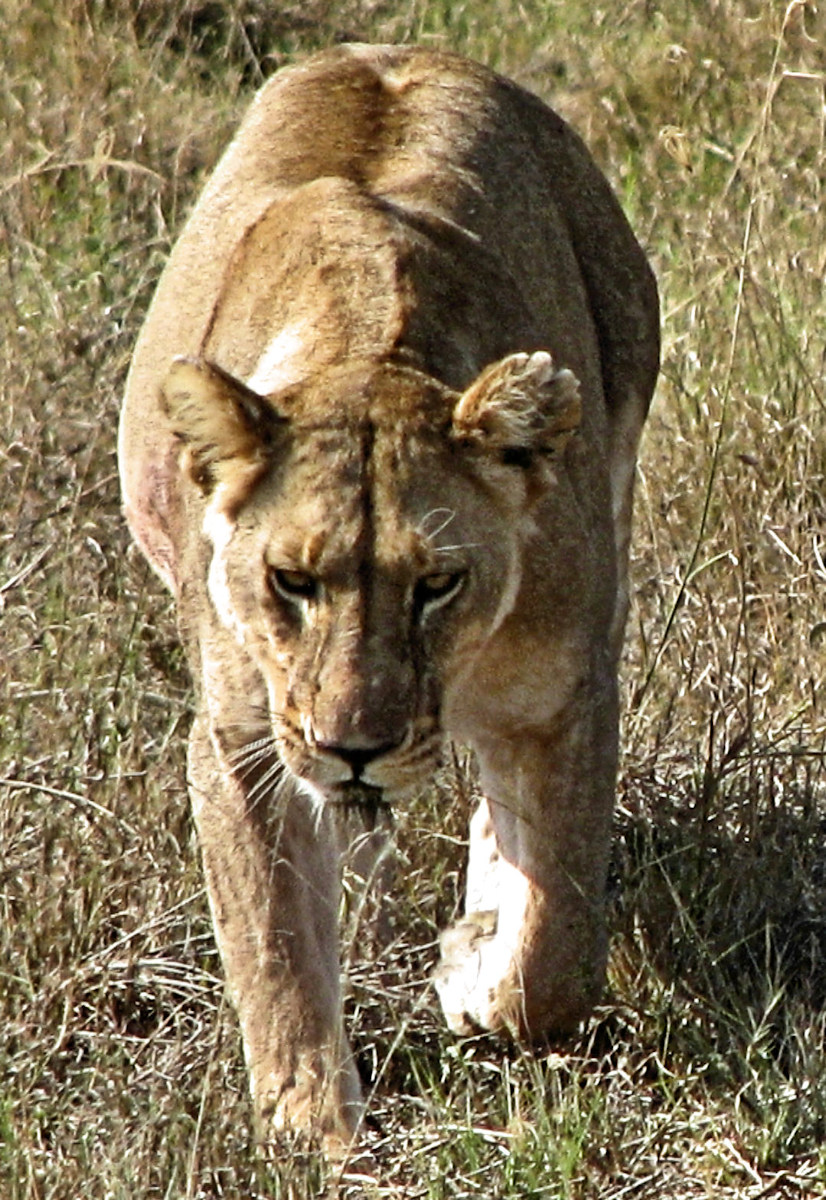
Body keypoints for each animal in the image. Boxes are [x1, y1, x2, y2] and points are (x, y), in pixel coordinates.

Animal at [119, 43, 659, 1158]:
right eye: (292, 581)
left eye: (437, 584)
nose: (354, 747)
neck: (367, 350)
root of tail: (397, 51)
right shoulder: (244, 736)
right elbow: (275, 947)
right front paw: (312, 1136)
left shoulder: (565, 691)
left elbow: (556, 948)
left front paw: (476, 968)